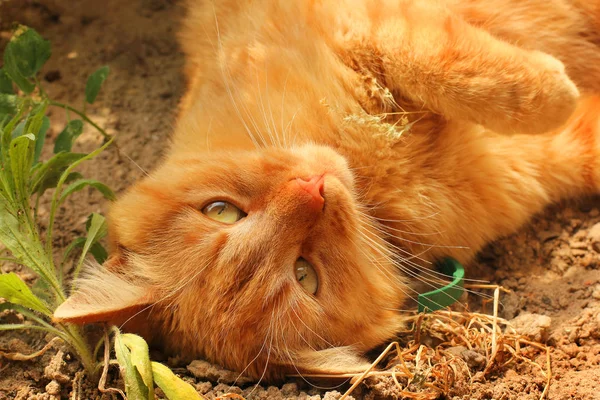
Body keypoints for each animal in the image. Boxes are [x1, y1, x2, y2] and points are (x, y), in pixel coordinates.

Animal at [55, 0, 600, 382]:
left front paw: (552, 87)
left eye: (221, 211)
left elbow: (453, 68)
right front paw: (564, 89)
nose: (313, 187)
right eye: (304, 274)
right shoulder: (538, 159)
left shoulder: (360, 25)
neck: (374, 180)